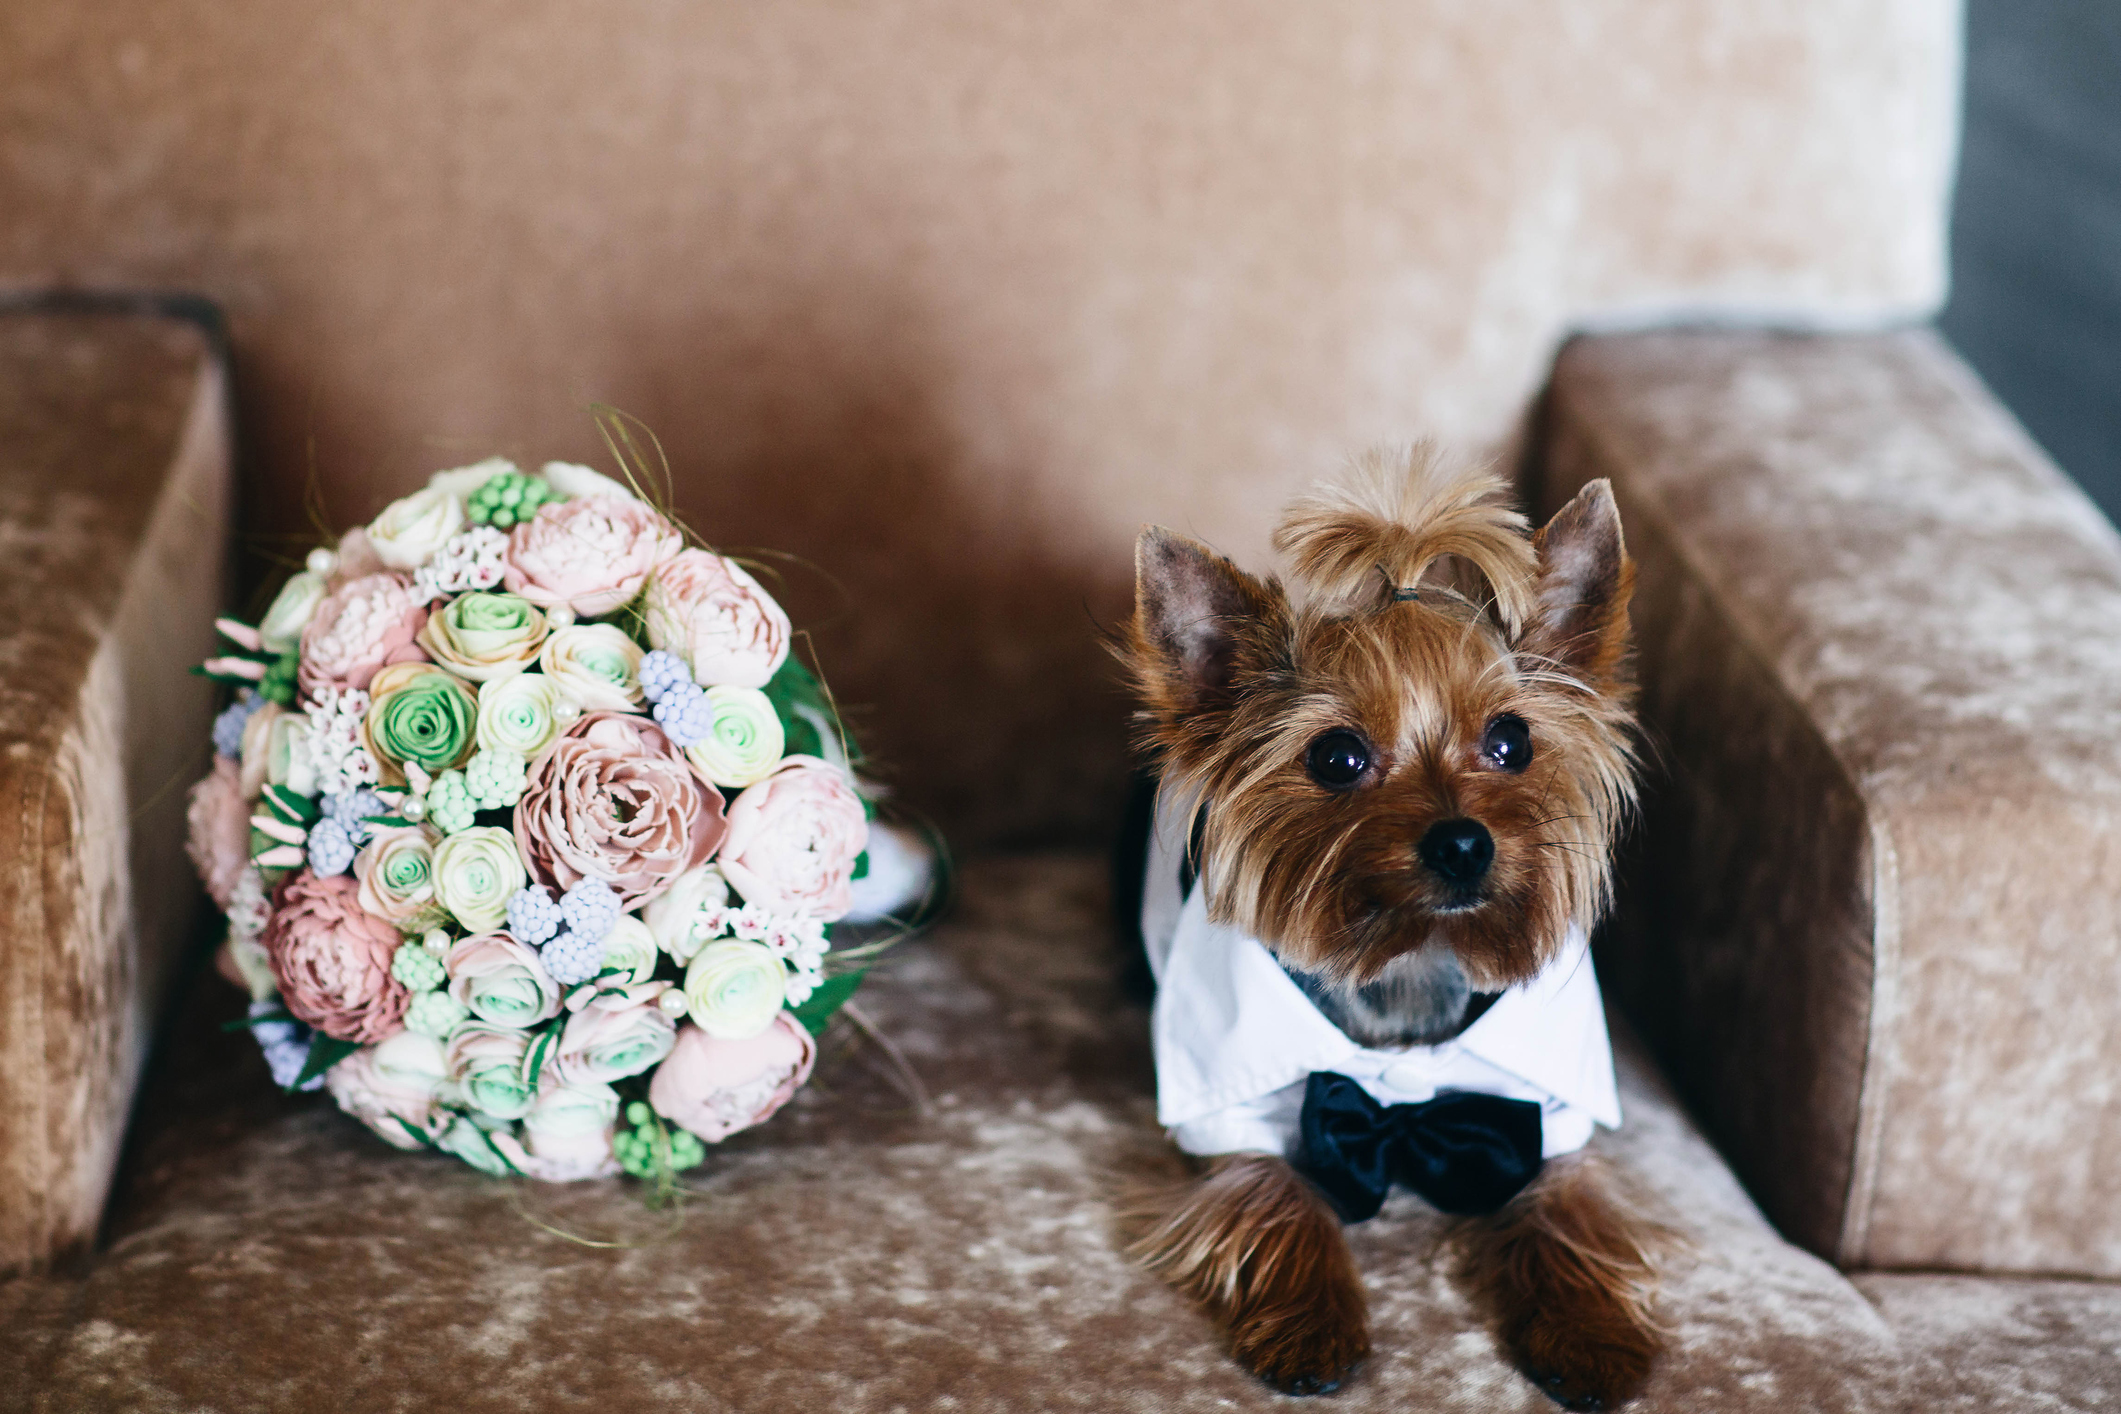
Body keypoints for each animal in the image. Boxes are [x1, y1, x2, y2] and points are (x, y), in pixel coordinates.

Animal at [1119, 451, 1662, 1407]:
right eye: (1336, 757)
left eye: (1512, 741)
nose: (1462, 842)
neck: (1412, 960)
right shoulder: (1224, 1108)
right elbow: (1267, 1188)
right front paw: (1311, 1324)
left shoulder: (1554, 1112)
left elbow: (1569, 1202)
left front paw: (1591, 1333)